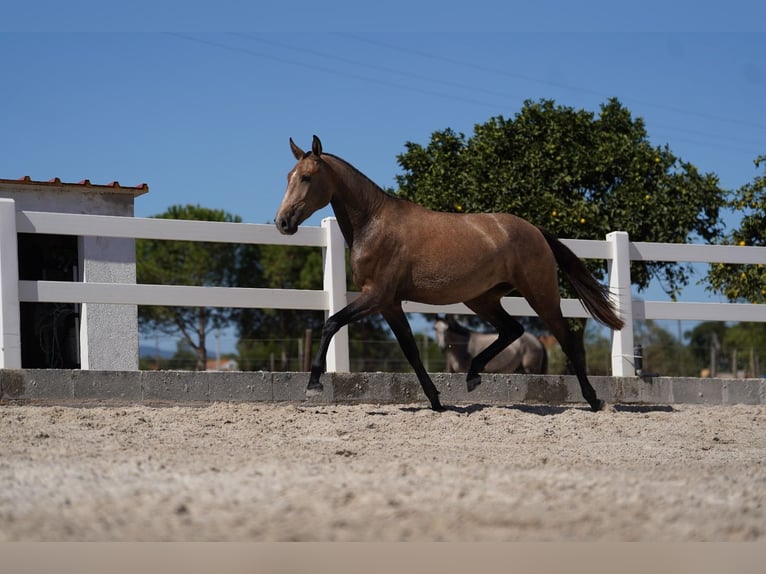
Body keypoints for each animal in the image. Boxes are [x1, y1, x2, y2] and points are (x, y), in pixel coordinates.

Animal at [276, 135, 624, 414]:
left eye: (306, 177)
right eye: (288, 176)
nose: (283, 222)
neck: (373, 223)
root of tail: (535, 230)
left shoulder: (375, 296)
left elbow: (331, 323)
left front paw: (314, 383)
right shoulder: (389, 304)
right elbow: (411, 351)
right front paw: (436, 402)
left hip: (540, 293)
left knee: (566, 340)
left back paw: (594, 400)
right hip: (482, 299)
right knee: (512, 330)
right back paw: (473, 375)